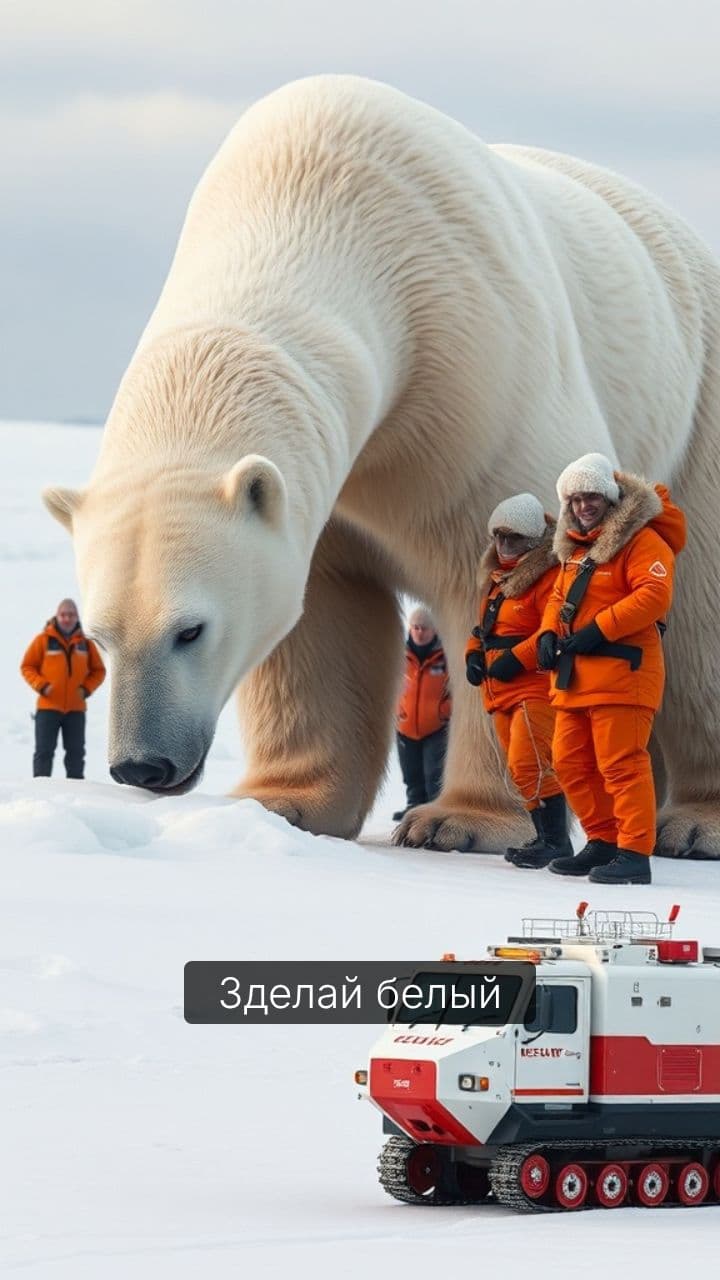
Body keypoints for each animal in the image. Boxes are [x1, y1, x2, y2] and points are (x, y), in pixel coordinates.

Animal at [42, 74, 720, 858]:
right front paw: (283, 803)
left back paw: (694, 821)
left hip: (696, 411)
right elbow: (320, 622)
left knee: (698, 620)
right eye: (99, 634)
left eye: (191, 629)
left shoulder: (470, 368)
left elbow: (505, 593)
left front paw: (456, 821)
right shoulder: (335, 496)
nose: (142, 765)